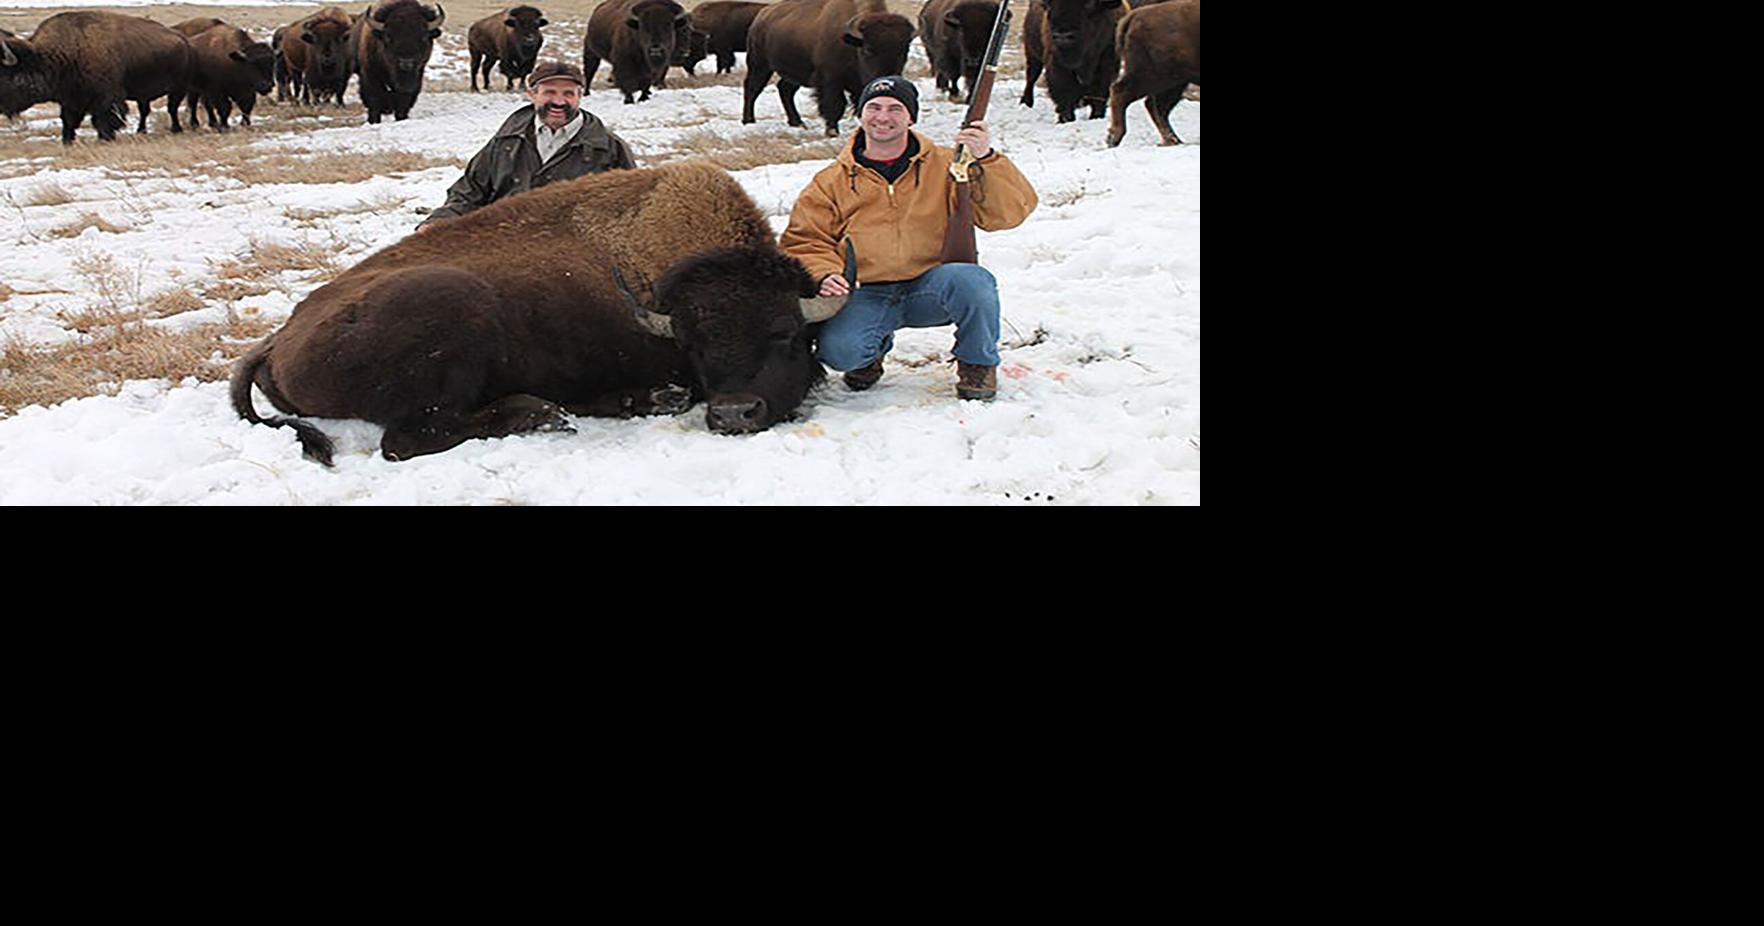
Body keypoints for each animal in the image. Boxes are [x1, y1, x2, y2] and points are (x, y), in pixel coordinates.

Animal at [1, 12, 194, 142]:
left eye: (5, 74)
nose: (2, 108)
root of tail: (184, 41)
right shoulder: (71, 99)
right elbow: (68, 120)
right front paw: (67, 140)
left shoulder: (106, 98)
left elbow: (102, 119)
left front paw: (105, 138)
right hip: (145, 95)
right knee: (145, 111)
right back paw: (141, 131)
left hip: (178, 88)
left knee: (172, 108)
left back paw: (176, 129)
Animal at [231, 162, 853, 463]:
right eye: (692, 343)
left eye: (785, 333)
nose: (733, 415)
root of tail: (275, 342)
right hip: (456, 311)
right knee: (408, 439)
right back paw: (544, 414)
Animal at [743, 0, 915, 137]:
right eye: (868, 50)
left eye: (905, 50)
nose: (889, 77)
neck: (852, 44)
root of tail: (762, 15)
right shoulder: (830, 80)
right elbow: (835, 105)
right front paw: (832, 132)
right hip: (759, 64)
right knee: (752, 88)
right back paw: (748, 121)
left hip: (793, 74)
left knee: (785, 90)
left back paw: (798, 123)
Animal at [1106, 0, 1198, 147]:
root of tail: (1134, 16)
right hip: (1157, 77)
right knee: (1120, 92)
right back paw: (1114, 137)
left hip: (1174, 82)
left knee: (1156, 107)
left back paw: (1173, 140)